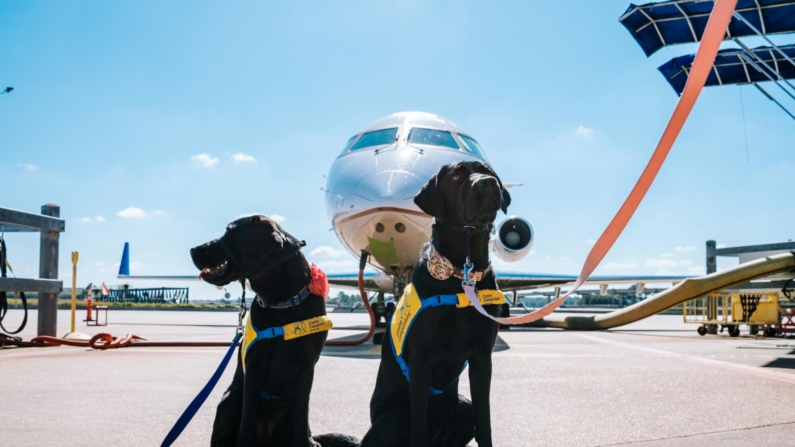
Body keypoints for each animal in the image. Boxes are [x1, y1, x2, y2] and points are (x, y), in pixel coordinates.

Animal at [191, 215, 360, 446]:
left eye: (229, 232)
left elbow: (303, 413)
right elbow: (248, 416)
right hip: (231, 397)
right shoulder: (254, 366)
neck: (282, 302)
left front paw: (304, 442)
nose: (192, 249)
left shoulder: (306, 367)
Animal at [360, 161, 510, 447]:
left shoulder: (482, 356)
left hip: (462, 406)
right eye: (457, 176)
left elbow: (485, 421)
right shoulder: (421, 359)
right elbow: (419, 426)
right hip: (396, 416)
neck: (462, 272)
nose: (488, 183)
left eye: (488, 171)